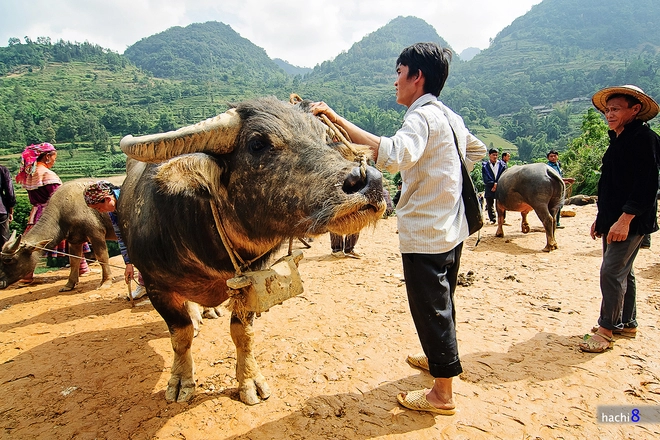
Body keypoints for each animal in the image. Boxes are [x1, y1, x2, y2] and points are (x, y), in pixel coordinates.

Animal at [118, 96, 386, 406]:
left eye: (324, 137)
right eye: (257, 144)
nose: (369, 181)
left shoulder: (251, 281)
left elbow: (242, 333)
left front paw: (249, 380)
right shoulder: (155, 285)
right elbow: (180, 335)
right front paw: (181, 381)